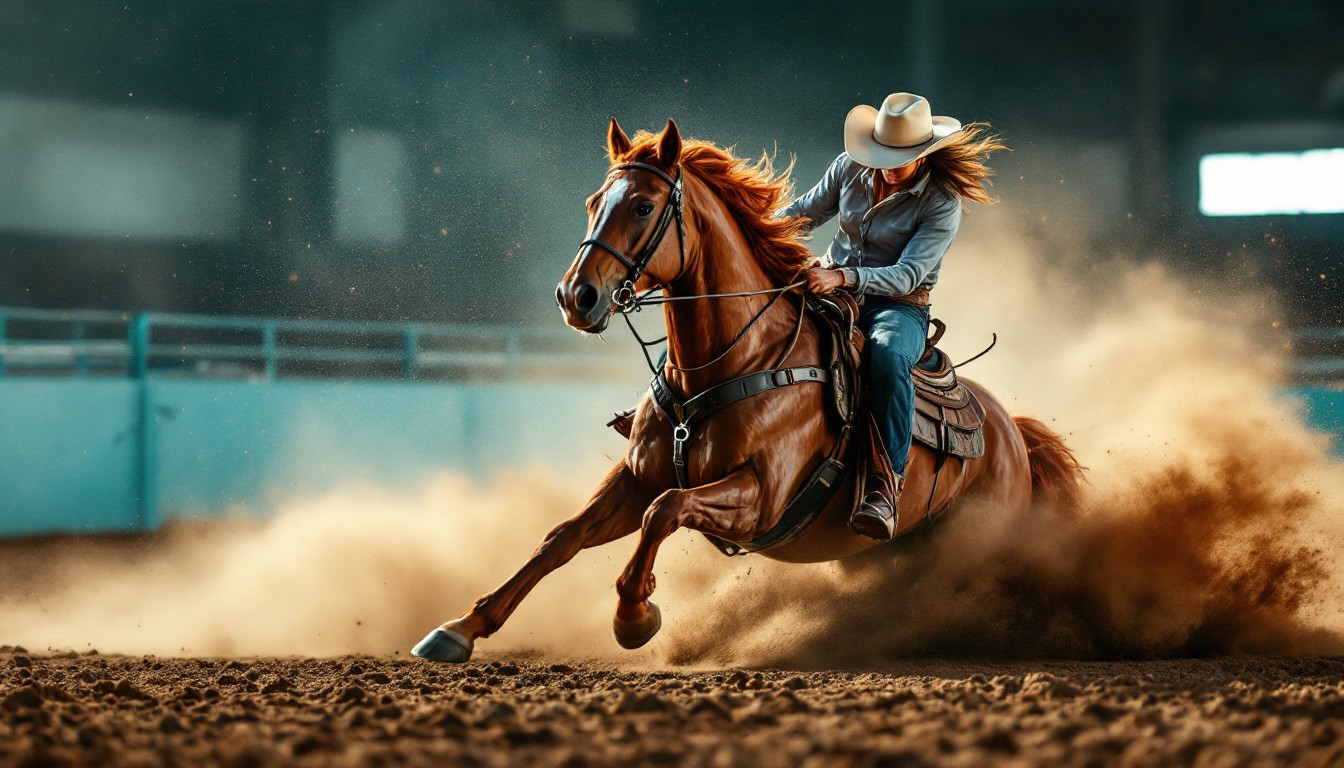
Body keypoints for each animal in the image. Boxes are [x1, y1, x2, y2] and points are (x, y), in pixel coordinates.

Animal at [411, 118, 1083, 663]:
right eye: (595, 200)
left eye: (643, 207)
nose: (576, 297)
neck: (733, 363)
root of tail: (1011, 434)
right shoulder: (635, 477)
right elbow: (561, 539)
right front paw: (460, 628)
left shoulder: (758, 497)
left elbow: (664, 512)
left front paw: (634, 617)